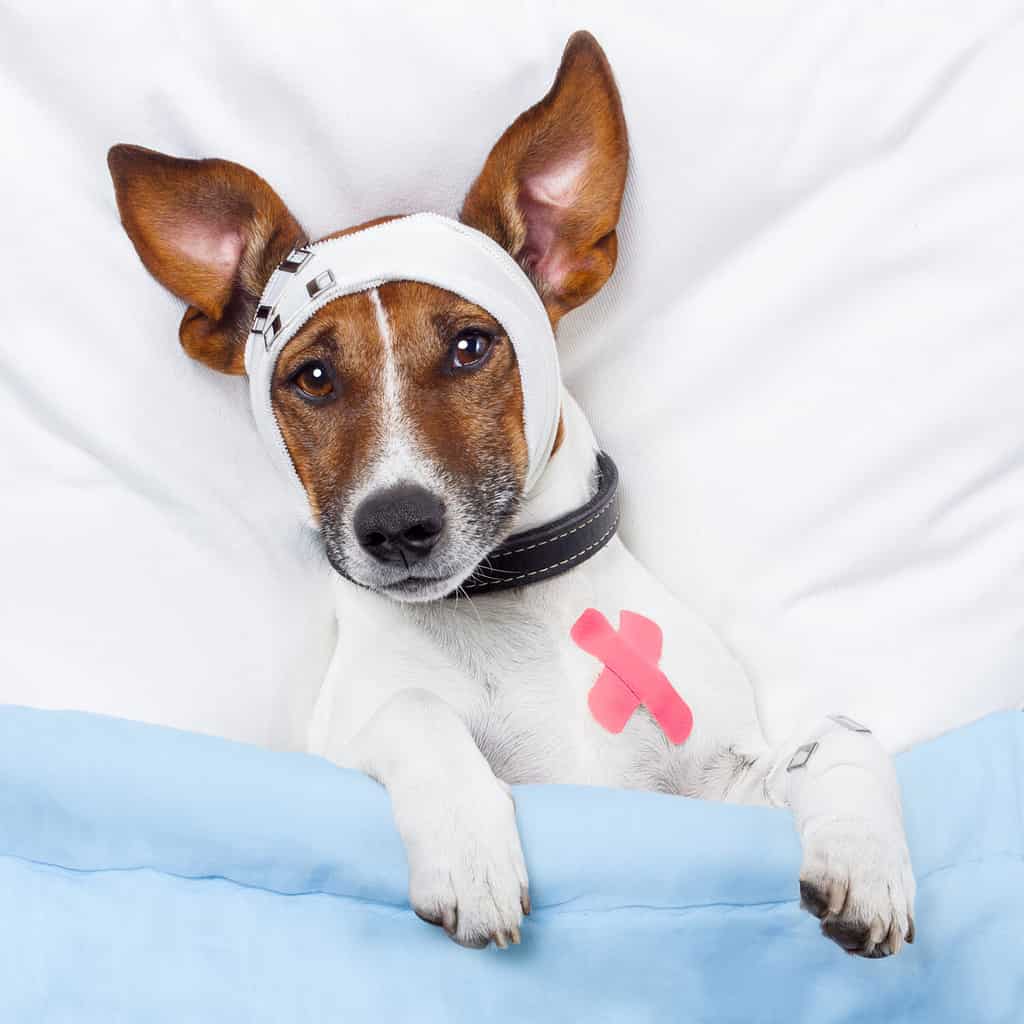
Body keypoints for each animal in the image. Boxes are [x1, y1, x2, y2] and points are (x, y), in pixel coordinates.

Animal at [108, 32, 917, 958]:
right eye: (311, 377)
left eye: (470, 346)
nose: (396, 525)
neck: (511, 612)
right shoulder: (341, 744)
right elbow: (414, 709)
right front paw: (471, 853)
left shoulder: (714, 794)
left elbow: (841, 736)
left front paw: (866, 859)